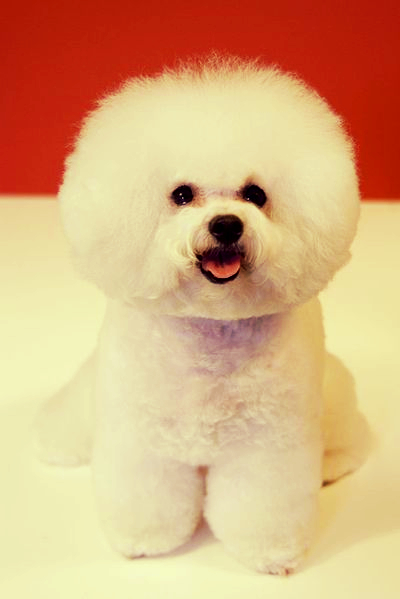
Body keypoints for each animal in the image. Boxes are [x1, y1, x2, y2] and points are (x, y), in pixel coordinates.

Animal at [36, 56, 368, 576]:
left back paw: (333, 464)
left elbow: (263, 506)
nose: (226, 224)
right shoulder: (141, 436)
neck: (211, 332)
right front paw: (144, 540)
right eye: (182, 194)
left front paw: (271, 554)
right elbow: (147, 495)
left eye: (255, 194)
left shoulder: (267, 445)